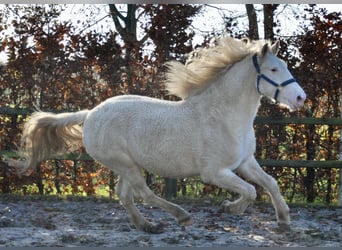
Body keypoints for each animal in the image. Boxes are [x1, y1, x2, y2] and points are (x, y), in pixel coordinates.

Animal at [14, 36, 306, 232]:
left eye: (285, 66)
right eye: (273, 69)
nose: (300, 98)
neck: (223, 117)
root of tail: (91, 113)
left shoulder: (245, 162)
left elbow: (269, 183)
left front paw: (283, 220)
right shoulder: (215, 173)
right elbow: (250, 191)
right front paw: (230, 208)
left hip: (125, 165)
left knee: (125, 195)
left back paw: (147, 225)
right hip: (125, 164)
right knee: (144, 193)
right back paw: (180, 216)